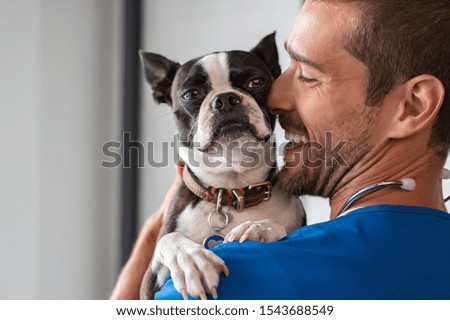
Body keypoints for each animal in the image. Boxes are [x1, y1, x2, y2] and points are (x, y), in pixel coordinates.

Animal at [139, 33, 304, 300]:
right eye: (190, 94)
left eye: (256, 82)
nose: (225, 99)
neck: (232, 189)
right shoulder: (147, 286)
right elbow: (169, 240)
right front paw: (190, 260)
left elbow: (277, 226)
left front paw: (259, 227)